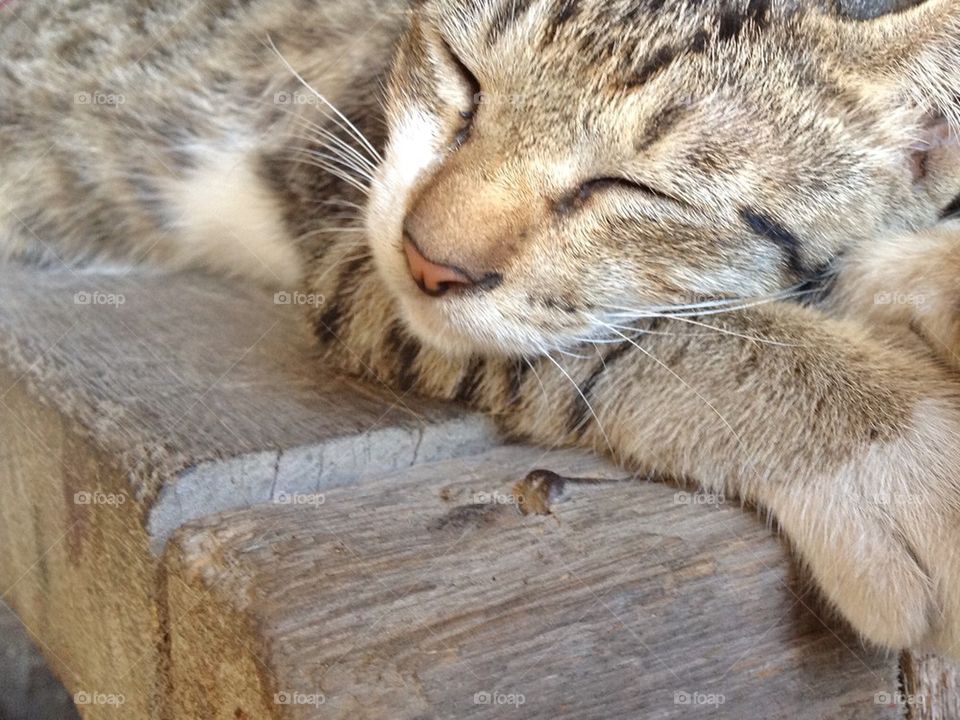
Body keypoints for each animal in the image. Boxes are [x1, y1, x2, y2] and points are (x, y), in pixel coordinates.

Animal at [5, 0, 960, 660]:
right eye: (463, 74)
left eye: (632, 188)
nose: (430, 258)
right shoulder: (351, 234)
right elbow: (639, 334)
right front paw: (899, 444)